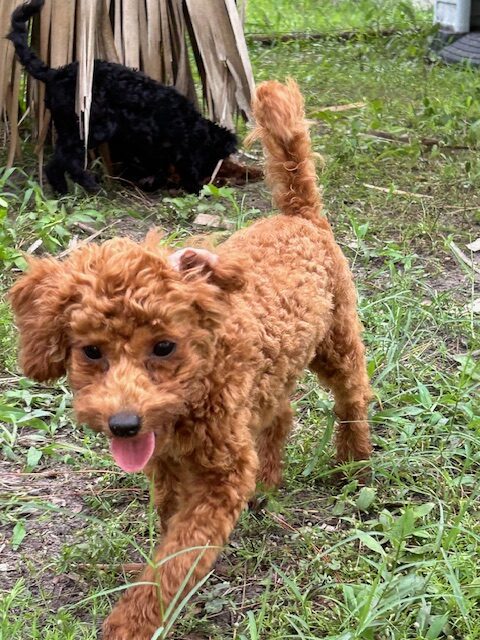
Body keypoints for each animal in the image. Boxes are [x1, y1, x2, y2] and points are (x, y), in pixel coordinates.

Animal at [8, 0, 237, 195]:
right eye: (213, 160)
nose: (209, 178)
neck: (190, 125)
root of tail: (55, 73)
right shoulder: (173, 145)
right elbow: (178, 166)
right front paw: (194, 188)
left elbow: (158, 165)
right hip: (91, 127)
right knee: (66, 160)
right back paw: (90, 186)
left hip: (69, 127)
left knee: (55, 162)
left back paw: (62, 190)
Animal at [9, 77, 374, 636]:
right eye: (91, 352)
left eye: (164, 346)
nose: (123, 424)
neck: (198, 383)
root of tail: (299, 216)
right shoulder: (168, 465)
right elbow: (167, 524)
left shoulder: (218, 478)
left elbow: (177, 558)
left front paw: (134, 620)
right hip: (274, 373)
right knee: (281, 413)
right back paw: (269, 480)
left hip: (336, 340)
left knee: (352, 395)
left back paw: (354, 460)